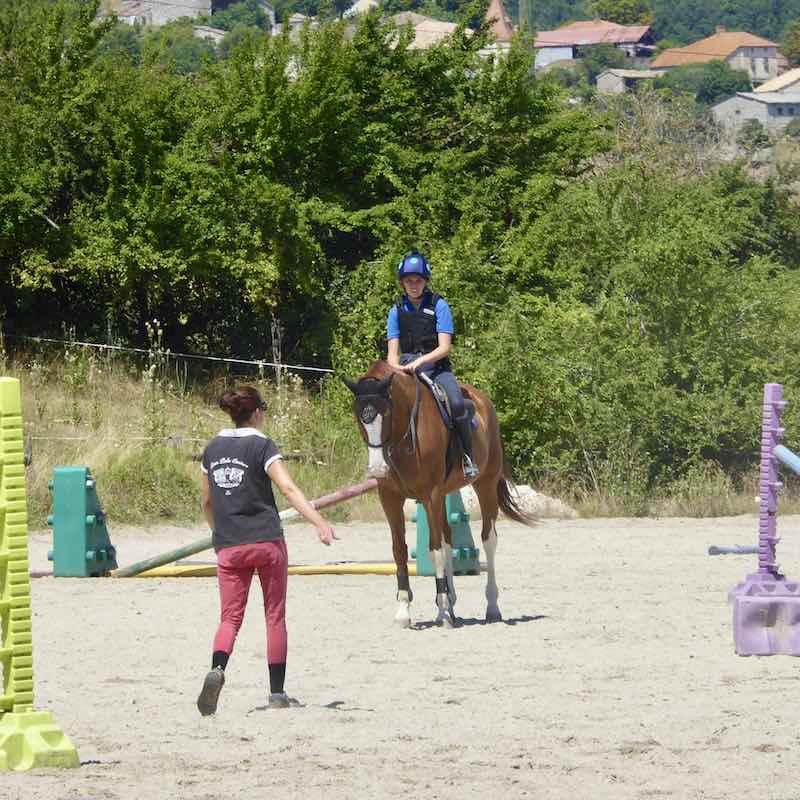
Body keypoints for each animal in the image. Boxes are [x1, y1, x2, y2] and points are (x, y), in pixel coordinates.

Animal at [342, 360, 536, 628]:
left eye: (387, 414)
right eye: (359, 417)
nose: (377, 469)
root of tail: (483, 400)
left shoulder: (431, 495)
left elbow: (434, 550)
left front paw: (443, 610)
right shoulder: (390, 497)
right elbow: (400, 550)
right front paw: (405, 610)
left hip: (484, 485)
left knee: (488, 539)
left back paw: (491, 607)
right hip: (445, 494)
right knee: (448, 540)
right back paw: (452, 604)